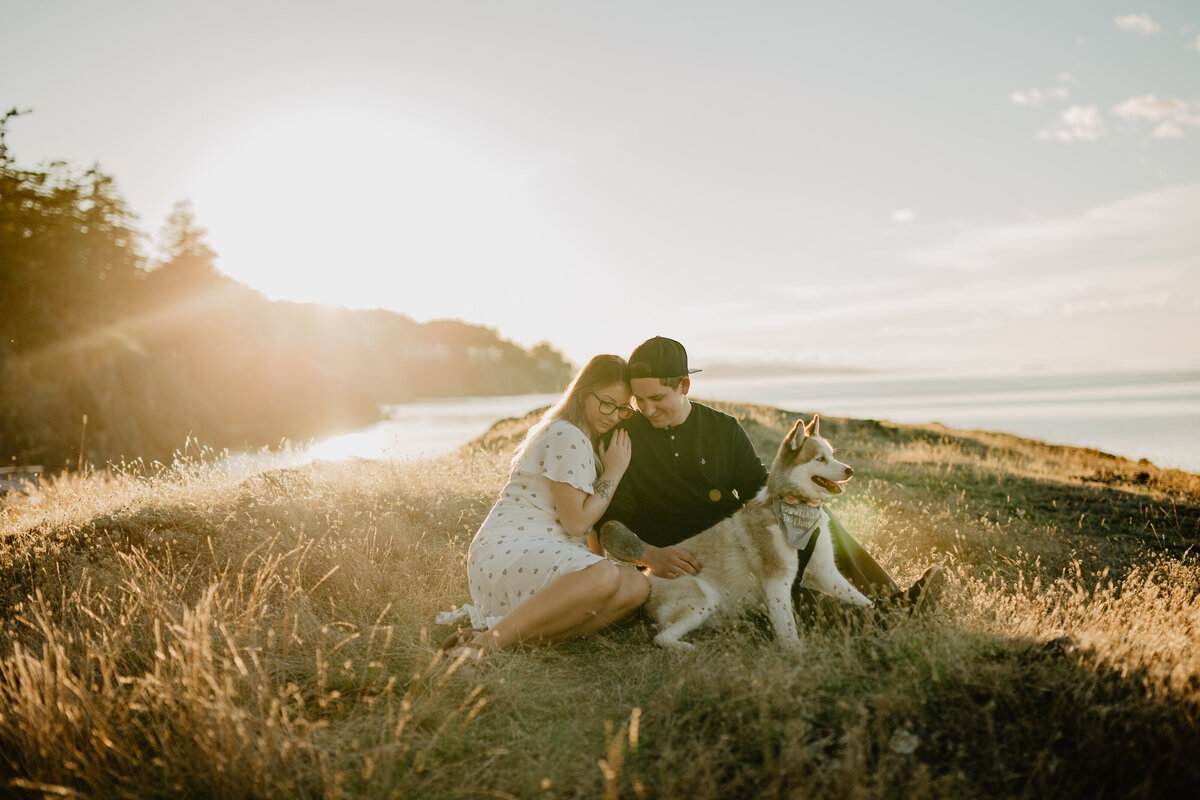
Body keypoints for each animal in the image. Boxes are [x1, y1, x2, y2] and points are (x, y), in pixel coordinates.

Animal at [648, 417, 873, 652]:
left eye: (832, 455)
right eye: (820, 459)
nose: (850, 470)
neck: (798, 507)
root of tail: (647, 578)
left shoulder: (826, 572)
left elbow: (863, 600)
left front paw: (877, 616)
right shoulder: (778, 579)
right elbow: (787, 625)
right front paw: (796, 652)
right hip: (705, 597)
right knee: (661, 638)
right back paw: (688, 647)